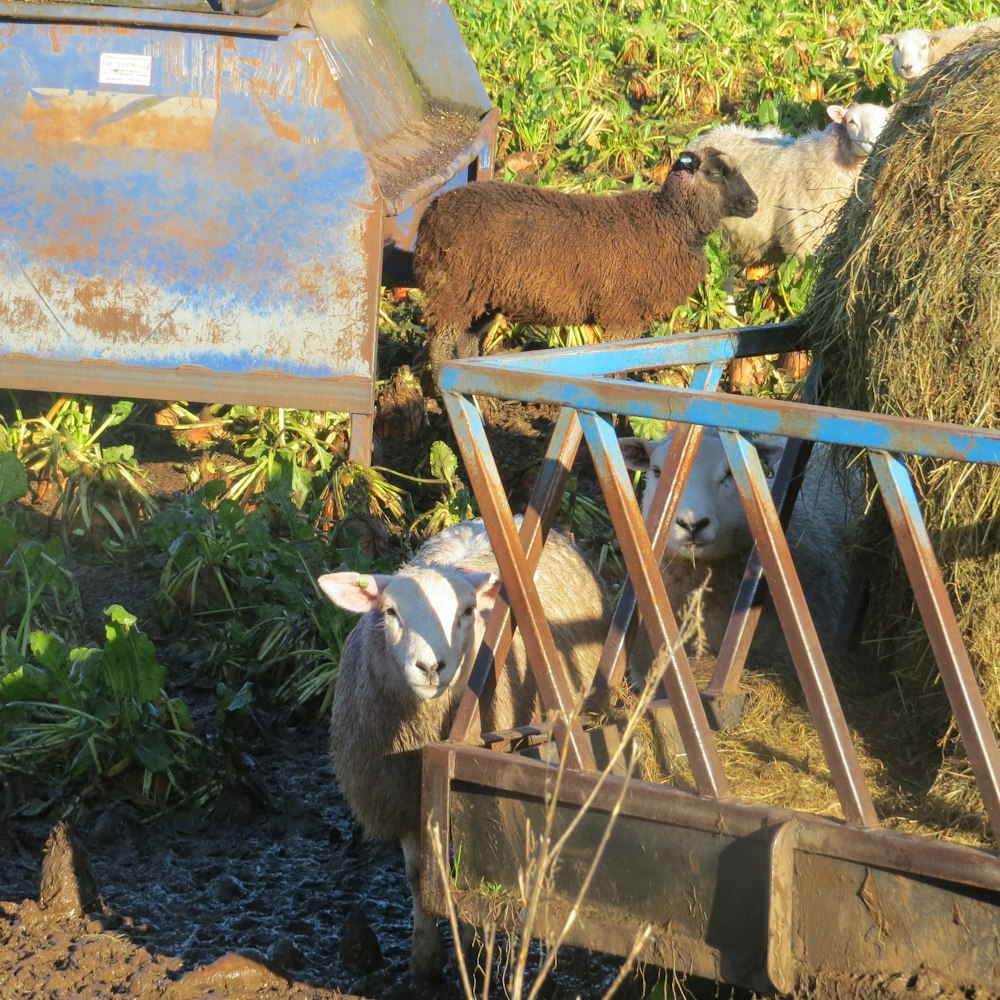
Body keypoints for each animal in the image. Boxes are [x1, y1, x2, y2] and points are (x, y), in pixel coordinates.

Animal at [318, 520, 608, 980]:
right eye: (390, 612)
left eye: (468, 612)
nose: (430, 667)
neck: (422, 731)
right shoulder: (401, 798)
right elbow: (419, 874)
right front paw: (424, 958)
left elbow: (472, 872)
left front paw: (472, 949)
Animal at [412, 148, 756, 378]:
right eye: (714, 172)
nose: (754, 203)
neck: (667, 221)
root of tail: (433, 210)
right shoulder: (622, 314)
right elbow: (617, 368)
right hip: (453, 288)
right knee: (441, 341)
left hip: (481, 297)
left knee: (467, 340)